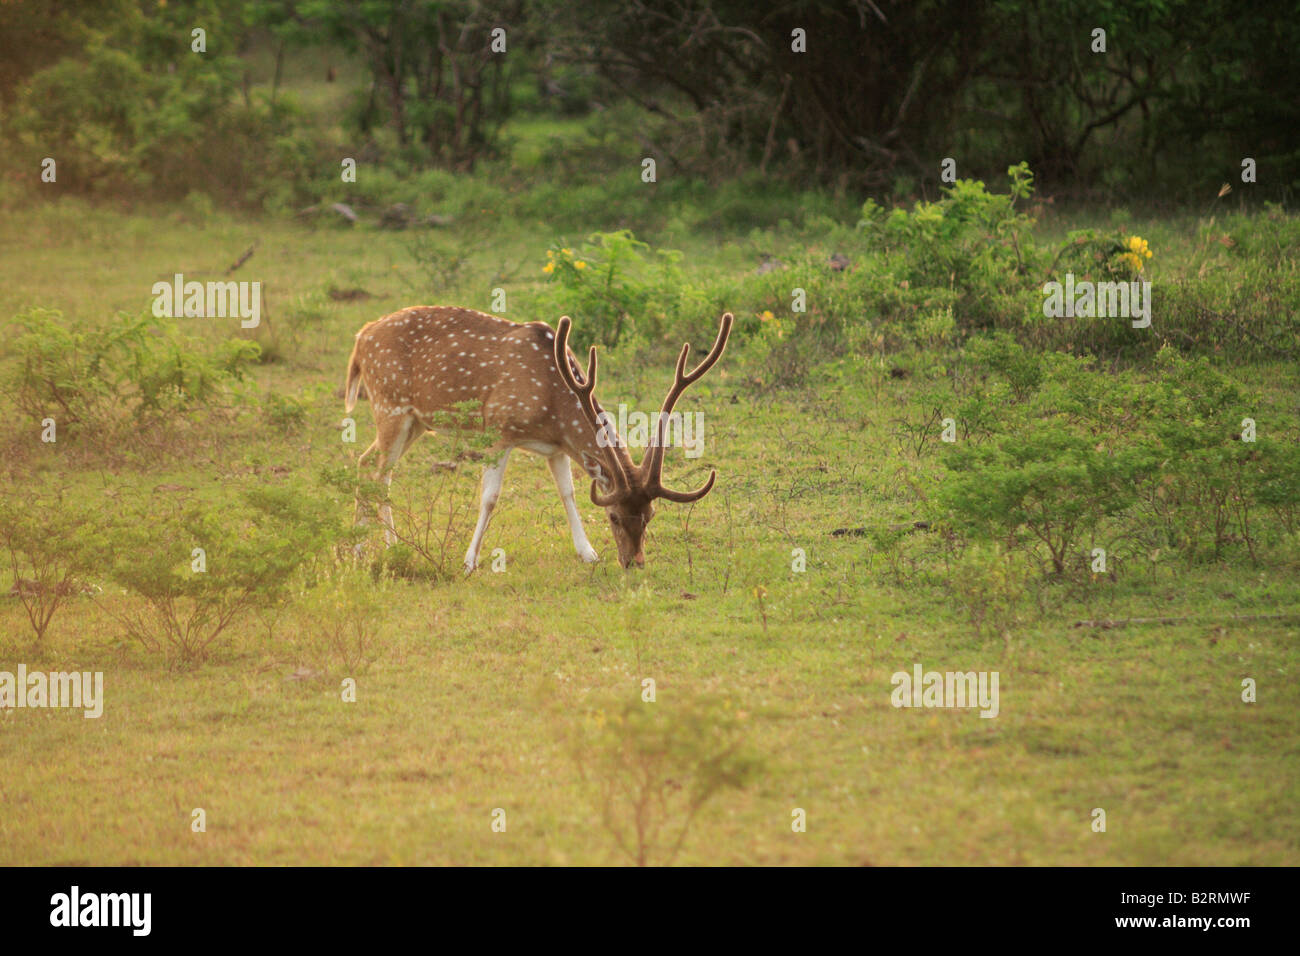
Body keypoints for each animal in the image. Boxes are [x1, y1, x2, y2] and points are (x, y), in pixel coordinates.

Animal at [343, 310, 733, 572]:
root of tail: (359, 340)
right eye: (614, 517)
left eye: (651, 515)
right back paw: (367, 547)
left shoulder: (556, 448)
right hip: (389, 405)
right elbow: (490, 498)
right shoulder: (499, 429)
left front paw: (588, 553)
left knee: (370, 465)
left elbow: (568, 493)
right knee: (375, 469)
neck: (552, 401)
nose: (634, 562)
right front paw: (470, 561)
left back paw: (377, 546)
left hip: (415, 422)